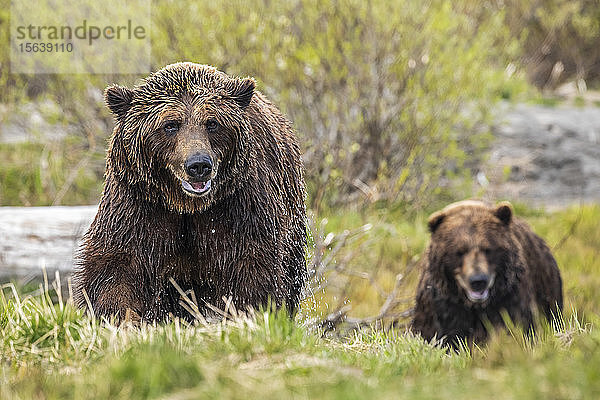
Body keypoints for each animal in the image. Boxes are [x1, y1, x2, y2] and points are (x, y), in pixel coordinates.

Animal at [72, 62, 308, 322]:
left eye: (212, 123)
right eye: (170, 125)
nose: (198, 165)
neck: (186, 205)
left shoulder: (239, 206)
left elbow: (253, 266)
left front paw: (249, 314)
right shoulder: (139, 204)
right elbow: (117, 265)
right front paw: (120, 317)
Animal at [412, 200, 564, 346]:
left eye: (488, 249)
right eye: (459, 251)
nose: (478, 281)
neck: (474, 306)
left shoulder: (509, 298)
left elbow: (514, 326)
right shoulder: (441, 305)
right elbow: (438, 334)